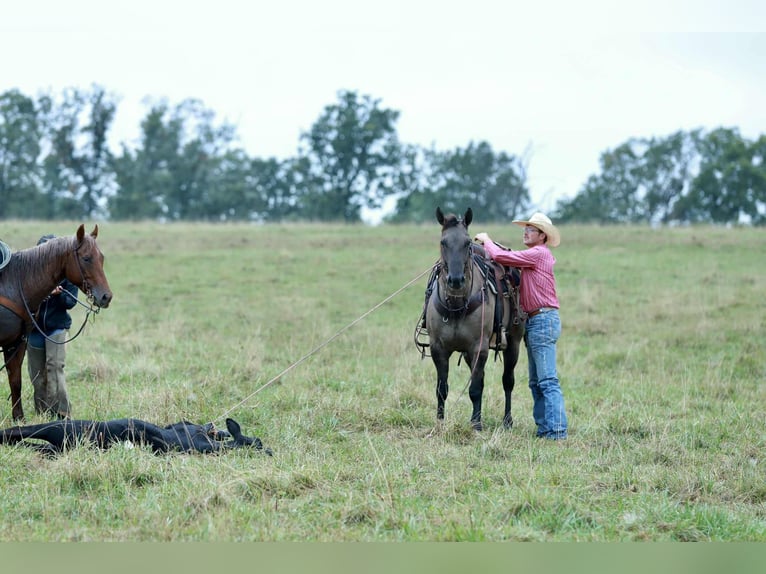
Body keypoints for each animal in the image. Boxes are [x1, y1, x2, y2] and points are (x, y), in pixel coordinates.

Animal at [0, 224, 112, 421]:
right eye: (86, 258)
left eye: (102, 257)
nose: (106, 296)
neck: (12, 284)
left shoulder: (16, 344)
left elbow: (15, 381)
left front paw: (19, 419)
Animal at [425, 207, 524, 431]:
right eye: (443, 242)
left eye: (467, 243)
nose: (455, 280)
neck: (456, 306)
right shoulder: (438, 349)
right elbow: (441, 388)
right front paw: (440, 422)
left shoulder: (479, 347)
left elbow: (475, 388)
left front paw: (476, 424)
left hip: (513, 342)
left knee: (508, 380)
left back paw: (507, 420)